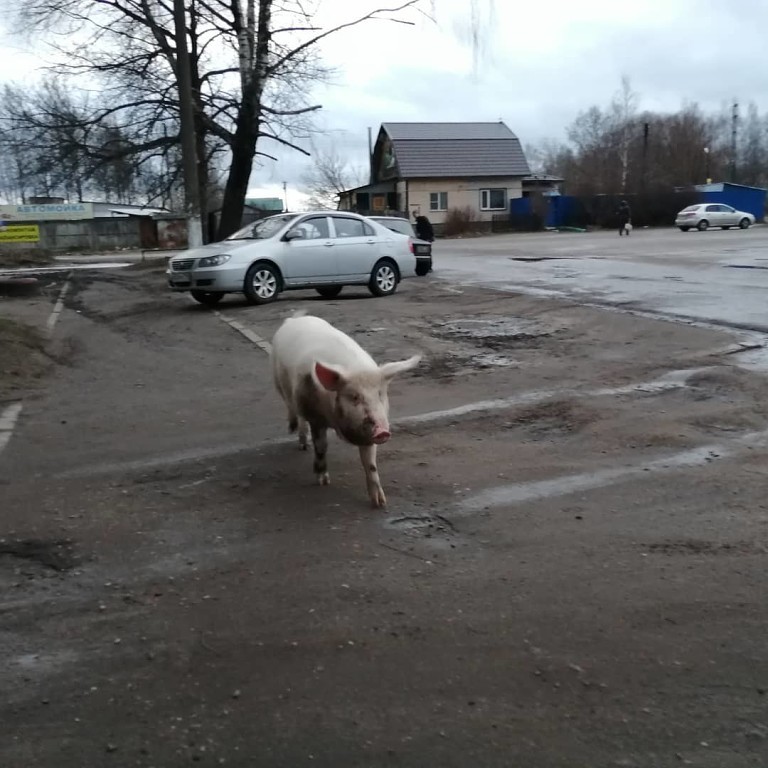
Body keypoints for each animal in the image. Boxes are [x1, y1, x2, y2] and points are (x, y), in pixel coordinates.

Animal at [272, 314, 420, 510]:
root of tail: (296, 318)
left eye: (380, 394)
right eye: (354, 397)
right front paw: (323, 481)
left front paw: (380, 503)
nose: (382, 431)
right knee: (291, 407)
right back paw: (298, 437)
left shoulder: (368, 434)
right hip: (278, 382)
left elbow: (370, 464)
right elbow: (321, 446)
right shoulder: (316, 419)